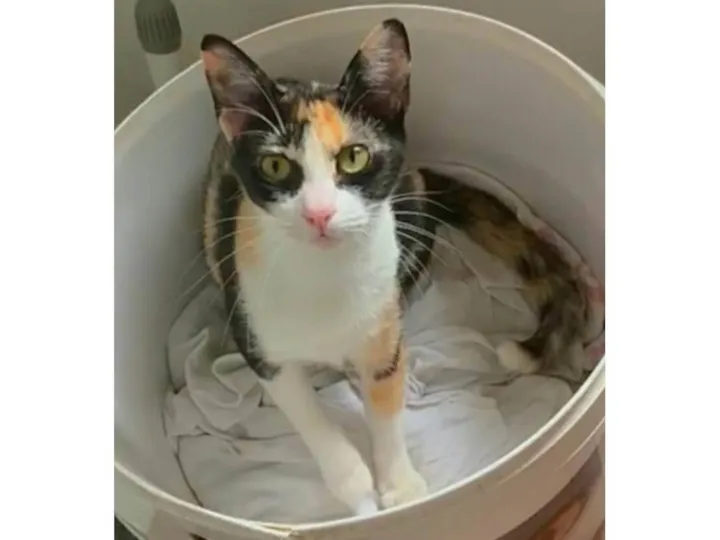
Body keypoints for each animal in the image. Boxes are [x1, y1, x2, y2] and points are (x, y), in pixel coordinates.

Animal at [199, 18, 587, 515]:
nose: (319, 213)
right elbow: (306, 413)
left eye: (355, 156)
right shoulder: (255, 333)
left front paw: (399, 487)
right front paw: (352, 483)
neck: (325, 277)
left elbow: (386, 400)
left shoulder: (382, 328)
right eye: (274, 166)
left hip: (412, 216)